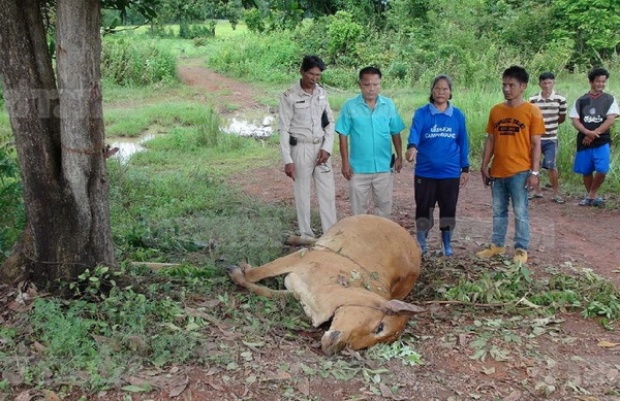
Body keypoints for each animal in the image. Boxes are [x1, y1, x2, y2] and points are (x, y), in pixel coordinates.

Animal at [229, 214, 426, 354]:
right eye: (379, 328)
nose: (333, 349)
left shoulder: (296, 292)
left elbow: (264, 290)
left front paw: (237, 274)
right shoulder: (304, 258)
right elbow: (256, 274)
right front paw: (241, 269)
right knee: (314, 241)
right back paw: (291, 238)